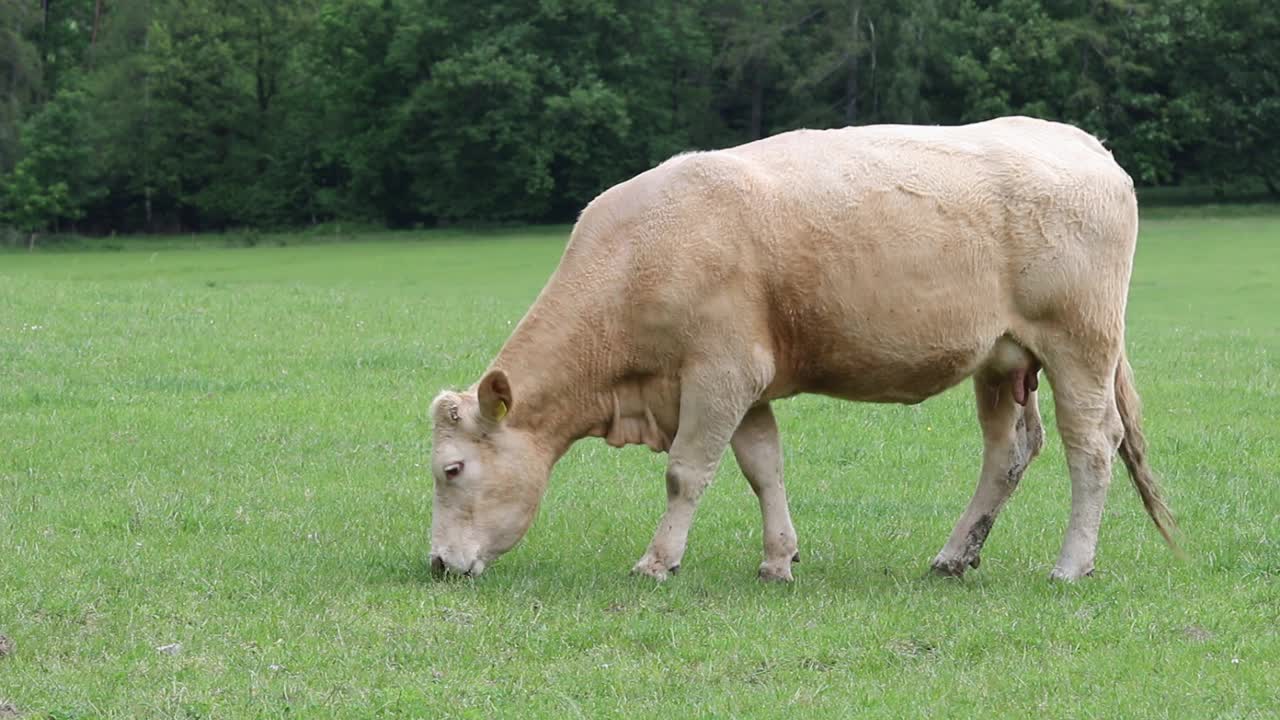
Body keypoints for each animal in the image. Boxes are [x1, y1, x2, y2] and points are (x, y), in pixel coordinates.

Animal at [424, 114, 1172, 579]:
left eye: (452, 469)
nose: (436, 563)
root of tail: (1080, 141)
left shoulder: (719, 373)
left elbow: (687, 472)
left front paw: (658, 561)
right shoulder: (746, 382)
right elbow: (764, 466)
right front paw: (779, 558)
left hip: (1080, 343)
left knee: (1091, 446)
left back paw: (1071, 564)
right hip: (1003, 358)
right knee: (1010, 449)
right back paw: (955, 555)